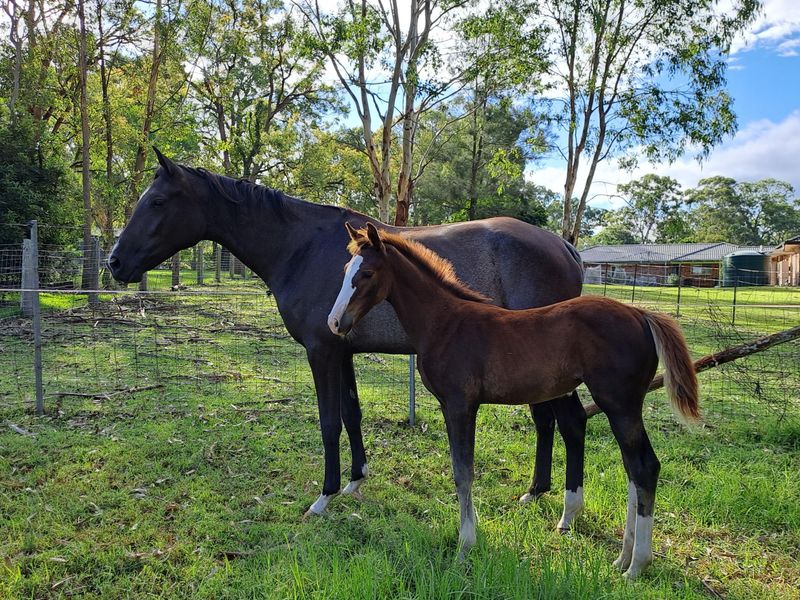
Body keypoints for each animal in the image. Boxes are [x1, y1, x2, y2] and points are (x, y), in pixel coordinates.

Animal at [108, 148, 587, 520]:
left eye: (157, 202)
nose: (114, 262)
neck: (301, 247)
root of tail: (564, 246)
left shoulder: (321, 352)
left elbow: (328, 421)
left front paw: (325, 496)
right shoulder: (343, 352)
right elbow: (352, 415)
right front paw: (356, 480)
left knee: (567, 421)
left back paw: (562, 507)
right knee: (547, 420)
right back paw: (536, 491)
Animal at [329, 223, 699, 579]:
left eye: (367, 274)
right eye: (345, 269)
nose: (334, 323)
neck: (445, 323)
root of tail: (640, 314)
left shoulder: (459, 405)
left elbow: (462, 472)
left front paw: (465, 546)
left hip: (619, 403)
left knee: (644, 467)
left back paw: (637, 565)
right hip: (623, 406)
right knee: (633, 469)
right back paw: (623, 558)